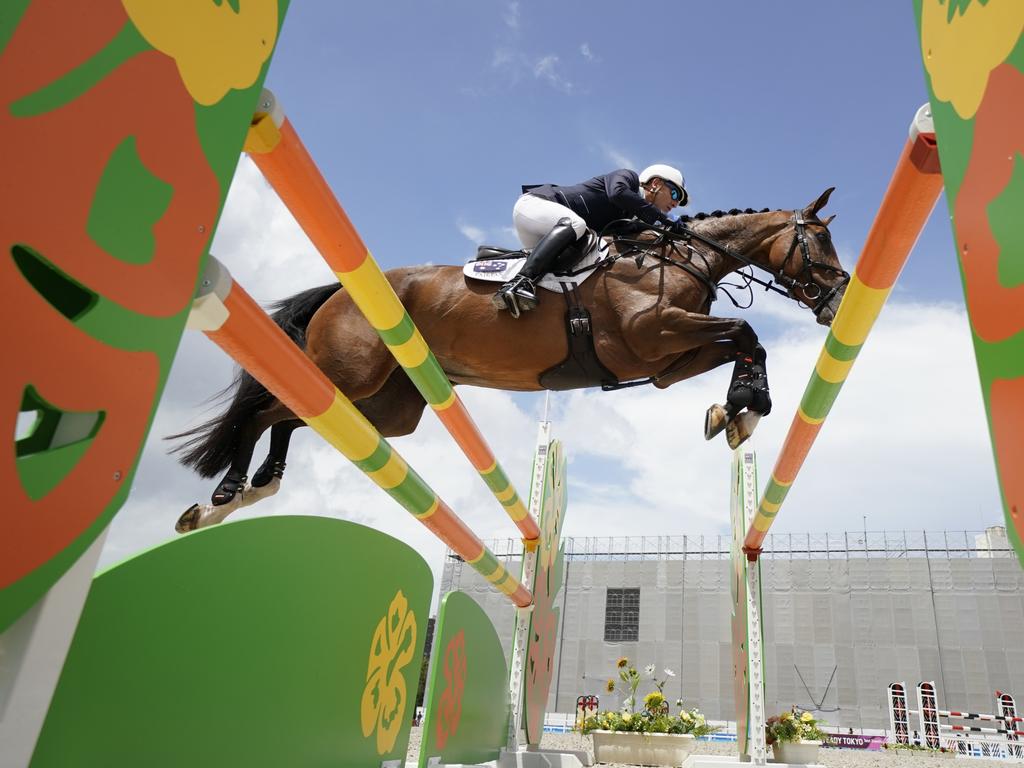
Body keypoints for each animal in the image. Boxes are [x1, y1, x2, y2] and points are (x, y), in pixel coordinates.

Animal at [172, 189, 847, 532]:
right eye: (820, 239)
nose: (839, 298)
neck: (678, 258)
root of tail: (338, 292)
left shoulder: (666, 362)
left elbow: (744, 341)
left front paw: (734, 412)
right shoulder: (652, 331)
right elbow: (748, 328)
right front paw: (746, 409)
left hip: (389, 407)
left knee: (295, 418)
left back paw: (249, 492)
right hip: (352, 374)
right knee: (266, 412)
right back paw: (227, 492)